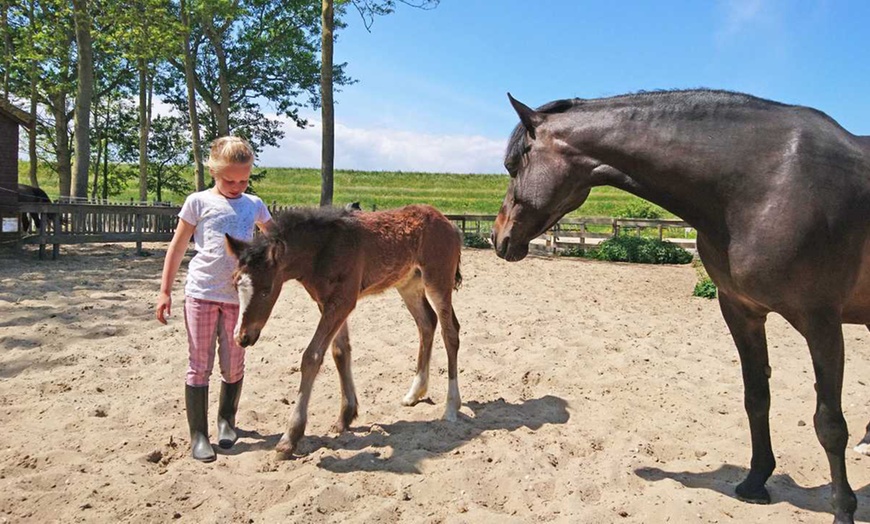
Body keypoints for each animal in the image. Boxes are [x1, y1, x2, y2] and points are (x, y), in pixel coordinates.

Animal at [228, 203, 466, 456]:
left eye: (266, 290)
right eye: (234, 284)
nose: (242, 337)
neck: (323, 248)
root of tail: (448, 223)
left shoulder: (343, 302)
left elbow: (312, 356)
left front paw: (290, 436)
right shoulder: (327, 303)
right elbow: (340, 352)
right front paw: (345, 416)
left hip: (438, 281)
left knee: (450, 332)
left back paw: (451, 407)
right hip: (409, 283)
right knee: (427, 322)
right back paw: (415, 393)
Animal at [494, 90, 870, 524]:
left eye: (512, 166)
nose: (497, 237)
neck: (765, 184)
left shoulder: (821, 321)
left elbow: (830, 423)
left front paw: (843, 510)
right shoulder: (741, 311)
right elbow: (756, 397)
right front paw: (755, 483)